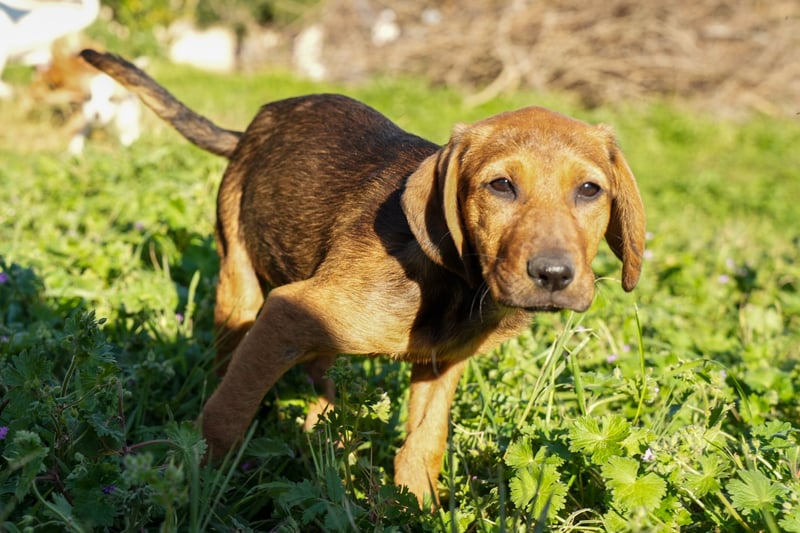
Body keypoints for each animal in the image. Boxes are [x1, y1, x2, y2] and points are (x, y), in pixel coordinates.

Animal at [81, 49, 645, 504]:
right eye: (501, 186)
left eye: (590, 190)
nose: (553, 275)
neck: (456, 284)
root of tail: (253, 128)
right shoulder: (285, 312)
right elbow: (225, 416)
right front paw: (193, 487)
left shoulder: (442, 365)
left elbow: (424, 445)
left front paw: (416, 510)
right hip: (240, 283)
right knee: (230, 364)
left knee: (321, 378)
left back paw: (323, 438)